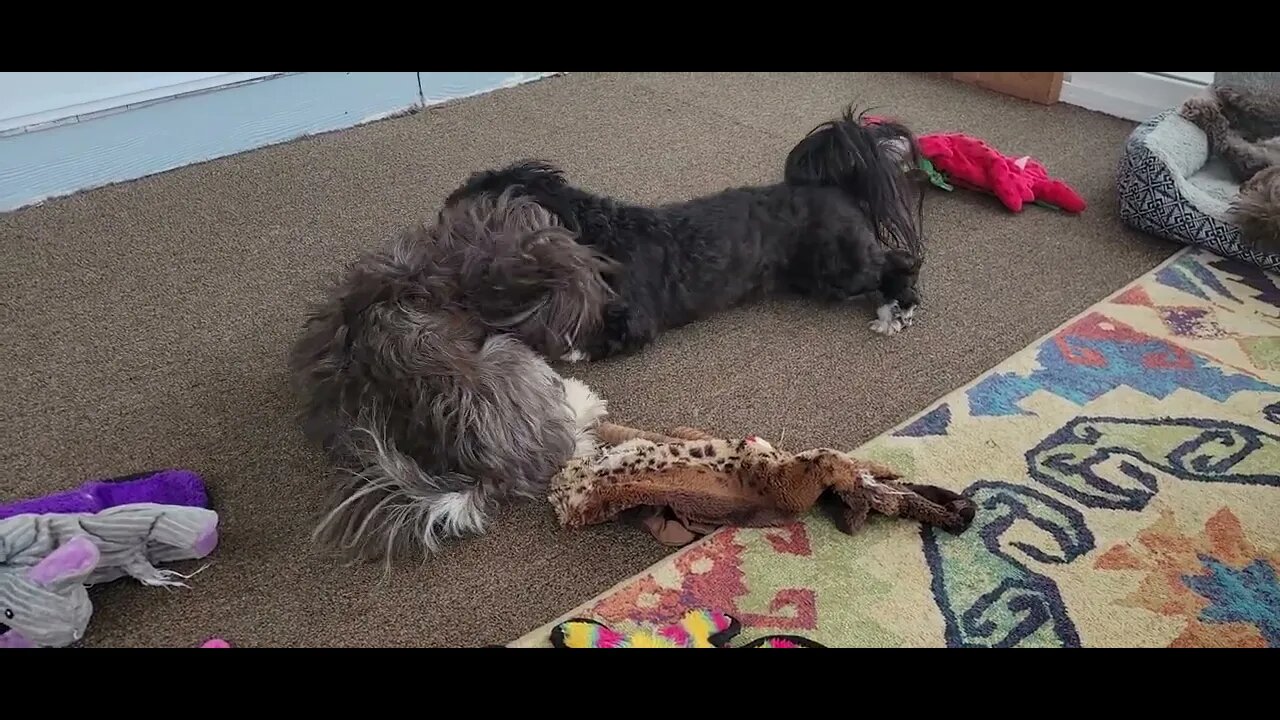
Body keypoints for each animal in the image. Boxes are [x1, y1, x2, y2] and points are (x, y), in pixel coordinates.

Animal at [445, 103, 926, 361]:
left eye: (478, 213)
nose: (445, 205)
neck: (594, 233)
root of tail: (836, 186)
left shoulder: (636, 320)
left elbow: (596, 337)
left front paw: (565, 348)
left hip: (839, 267)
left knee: (900, 262)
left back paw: (895, 311)